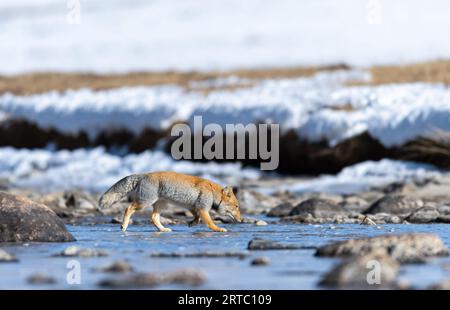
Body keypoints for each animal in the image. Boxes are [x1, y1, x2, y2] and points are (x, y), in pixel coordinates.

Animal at [97, 172, 241, 232]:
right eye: (236, 206)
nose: (242, 219)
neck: (212, 192)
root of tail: (143, 175)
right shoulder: (202, 208)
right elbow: (210, 222)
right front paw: (218, 229)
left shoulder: (193, 207)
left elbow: (198, 218)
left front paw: (192, 223)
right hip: (144, 203)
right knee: (128, 208)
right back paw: (124, 226)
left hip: (161, 205)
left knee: (153, 218)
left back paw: (162, 229)